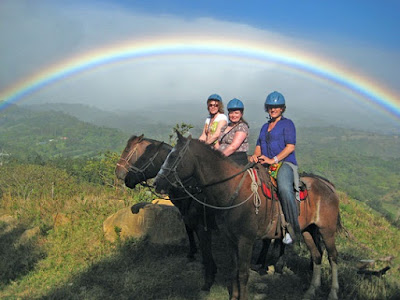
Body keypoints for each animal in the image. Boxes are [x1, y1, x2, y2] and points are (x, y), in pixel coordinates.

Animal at [114, 135, 217, 290]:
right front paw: (192, 252)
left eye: (128, 151)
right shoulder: (184, 209)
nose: (124, 178)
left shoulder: (200, 218)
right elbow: (188, 228)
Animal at [153, 133, 340, 300]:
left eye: (174, 156)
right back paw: (311, 290)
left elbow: (243, 273)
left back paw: (332, 292)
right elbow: (234, 269)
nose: (156, 183)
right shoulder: (230, 239)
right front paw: (234, 296)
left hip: (327, 230)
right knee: (317, 256)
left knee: (332, 257)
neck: (232, 190)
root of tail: (328, 186)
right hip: (308, 230)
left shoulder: (245, 240)